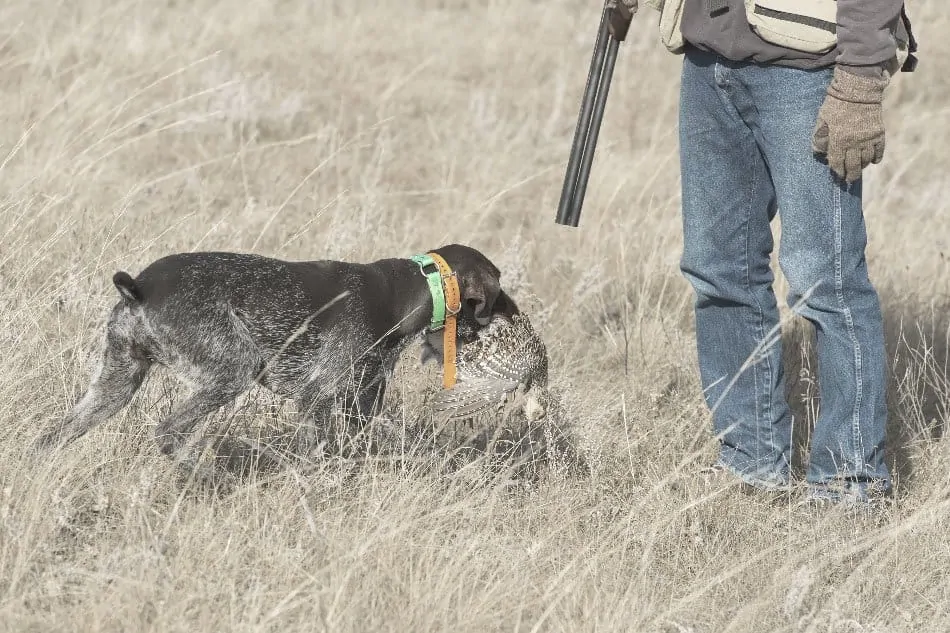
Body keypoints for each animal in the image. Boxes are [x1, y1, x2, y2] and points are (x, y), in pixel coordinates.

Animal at [33, 244, 520, 466]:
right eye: (498, 290)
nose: (515, 311)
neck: (411, 292)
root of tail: (139, 288)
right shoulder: (315, 399)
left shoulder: (359, 406)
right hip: (233, 370)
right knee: (168, 430)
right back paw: (201, 471)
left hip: (114, 384)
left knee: (52, 437)